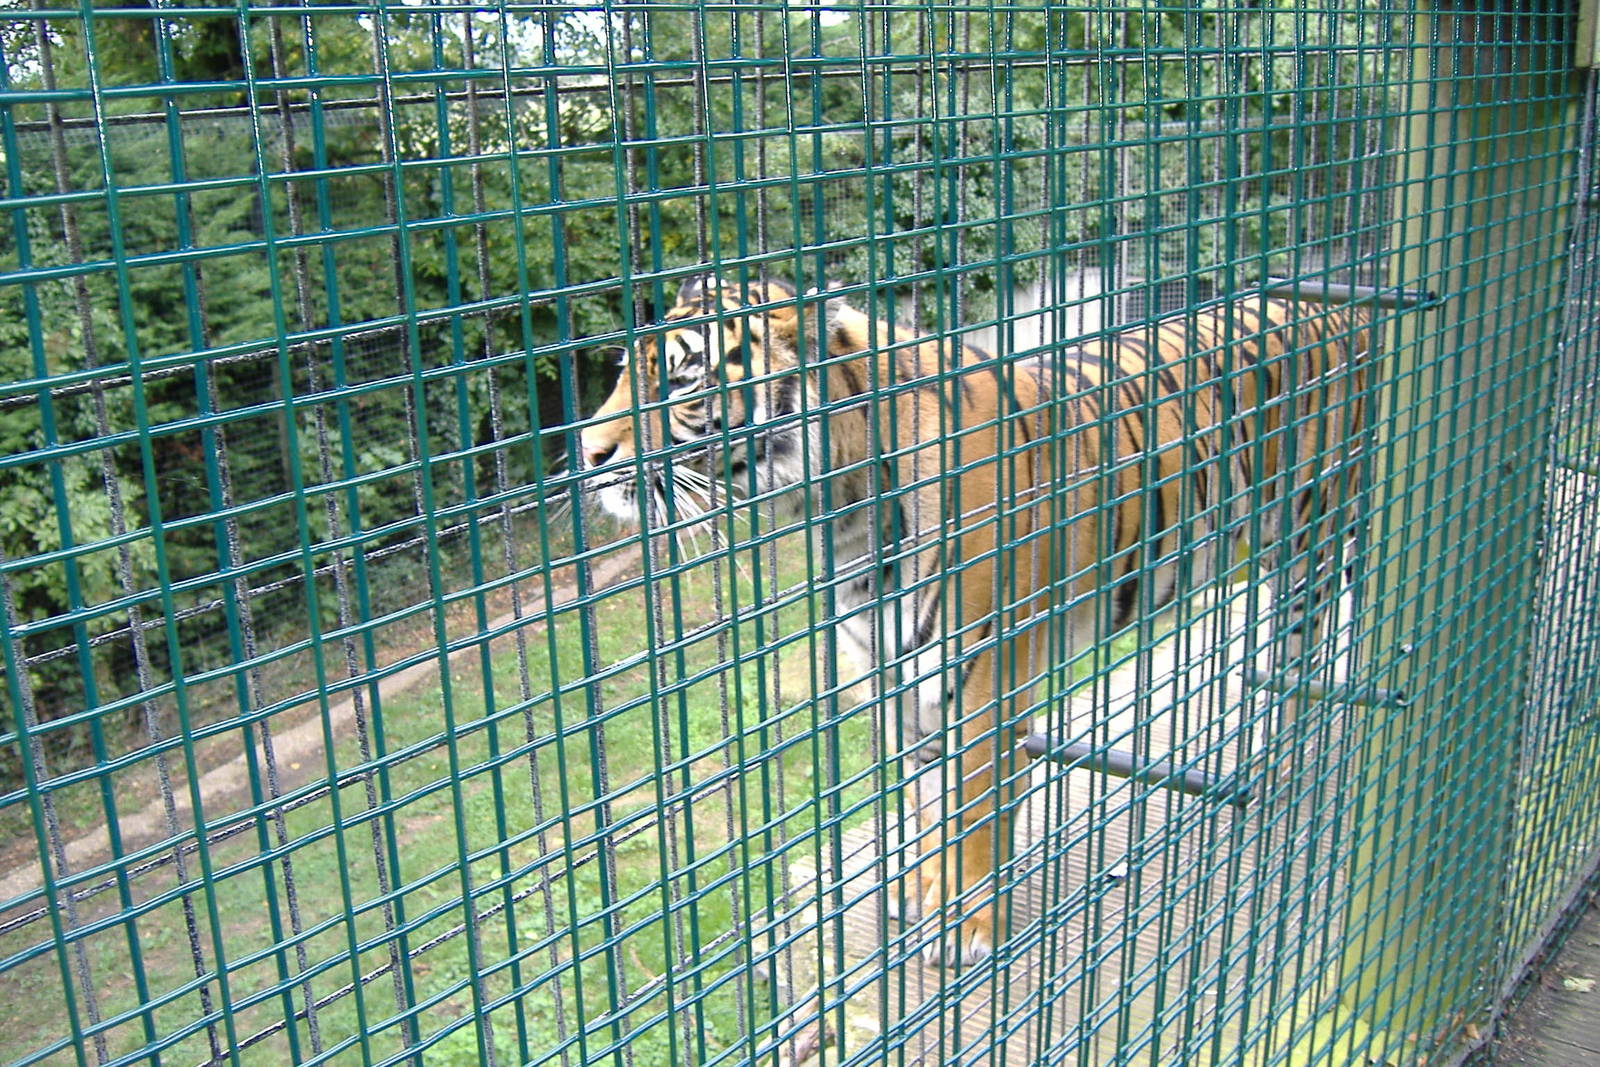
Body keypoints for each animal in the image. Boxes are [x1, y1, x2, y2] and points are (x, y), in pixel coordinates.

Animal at [578, 274, 1372, 966]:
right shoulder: (899, 683)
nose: (587, 455)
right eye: (622, 374)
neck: (844, 513)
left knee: (1309, 650)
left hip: (1312, 535)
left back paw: (1287, 765)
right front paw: (919, 892)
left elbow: (980, 815)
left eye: (683, 381)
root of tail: (1331, 307)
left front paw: (967, 924)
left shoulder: (988, 685)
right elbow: (927, 805)